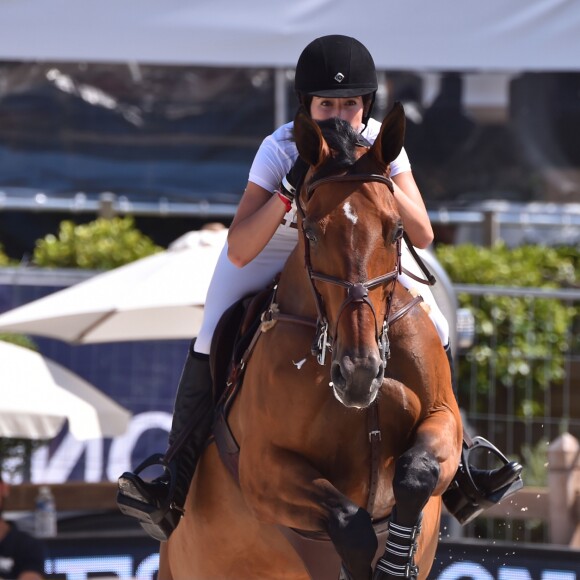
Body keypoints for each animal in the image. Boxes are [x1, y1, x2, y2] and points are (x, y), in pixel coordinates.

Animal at [160, 104, 462, 580]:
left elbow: (417, 473)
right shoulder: (264, 470)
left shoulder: (442, 418)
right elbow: (350, 524)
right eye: (313, 233)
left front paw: (398, 559)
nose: (359, 375)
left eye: (397, 231)